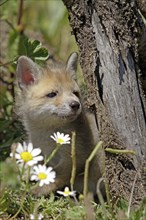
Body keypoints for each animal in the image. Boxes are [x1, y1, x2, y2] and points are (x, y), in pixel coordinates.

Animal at [15, 53, 103, 196]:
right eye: (52, 94)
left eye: (75, 93)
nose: (75, 105)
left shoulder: (75, 156)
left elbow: (55, 174)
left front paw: (39, 189)